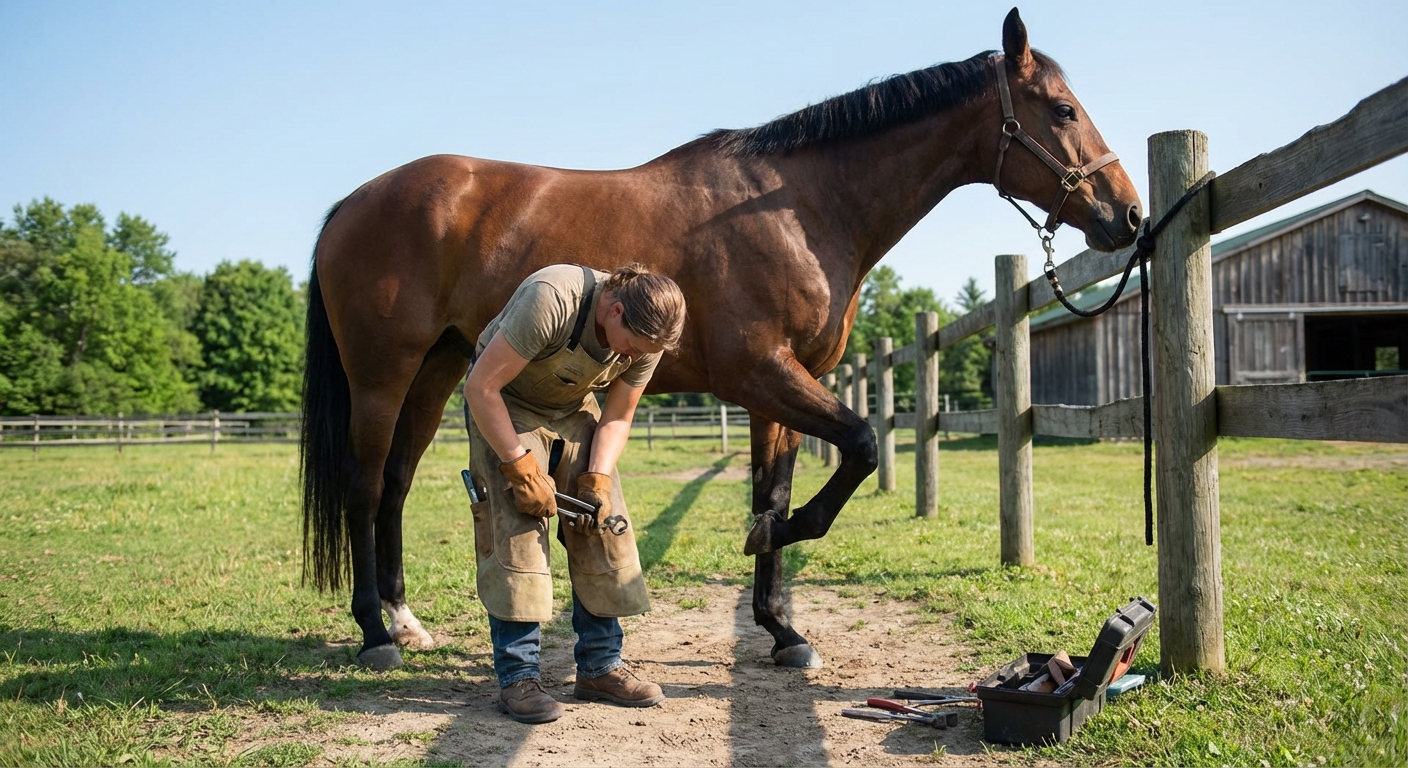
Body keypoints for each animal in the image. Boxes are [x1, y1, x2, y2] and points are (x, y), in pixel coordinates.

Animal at [301, 8, 1142, 671]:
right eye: (1061, 110)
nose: (1128, 216)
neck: (799, 206)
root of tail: (353, 202)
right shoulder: (757, 374)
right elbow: (861, 445)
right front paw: (779, 540)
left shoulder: (784, 386)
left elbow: (777, 485)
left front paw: (781, 626)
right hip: (383, 374)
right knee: (366, 483)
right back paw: (375, 632)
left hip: (440, 368)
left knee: (398, 482)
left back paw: (407, 622)